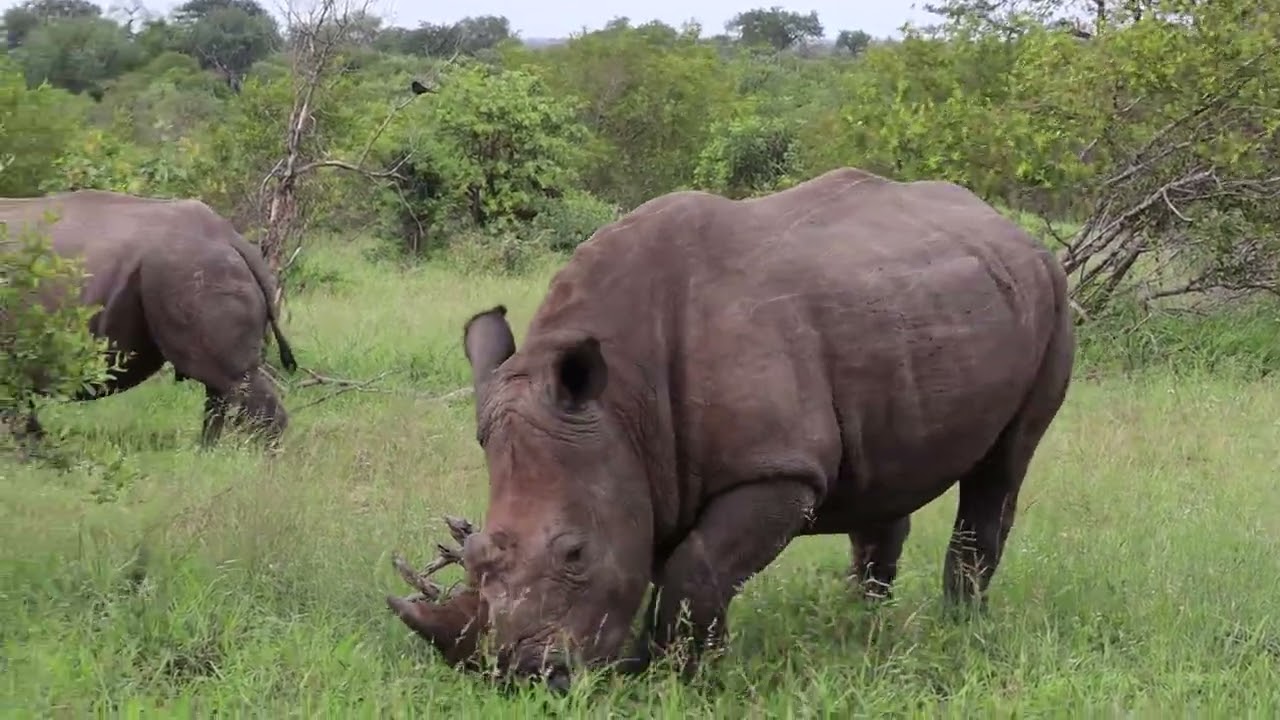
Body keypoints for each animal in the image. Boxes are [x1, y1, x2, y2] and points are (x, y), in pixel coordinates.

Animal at [0, 189, 297, 447]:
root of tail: (231, 238)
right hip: (195, 268)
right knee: (220, 386)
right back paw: (206, 453)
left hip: (189, 268)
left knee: (232, 378)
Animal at [391, 167, 1076, 689]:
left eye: (575, 554)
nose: (525, 678)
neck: (623, 404)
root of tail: (1011, 229)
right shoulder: (648, 463)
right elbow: (670, 565)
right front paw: (659, 665)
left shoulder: (777, 469)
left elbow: (694, 567)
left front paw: (683, 679)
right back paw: (862, 624)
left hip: (1052, 295)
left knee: (1004, 465)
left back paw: (956, 626)